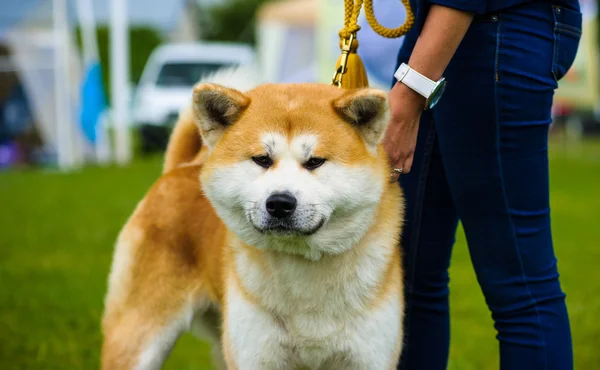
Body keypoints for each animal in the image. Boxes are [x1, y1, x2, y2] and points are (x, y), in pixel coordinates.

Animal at [101, 67, 406, 370]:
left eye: (315, 162)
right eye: (262, 159)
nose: (280, 203)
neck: (301, 266)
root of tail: (180, 168)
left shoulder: (369, 358)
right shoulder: (256, 355)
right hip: (140, 337)